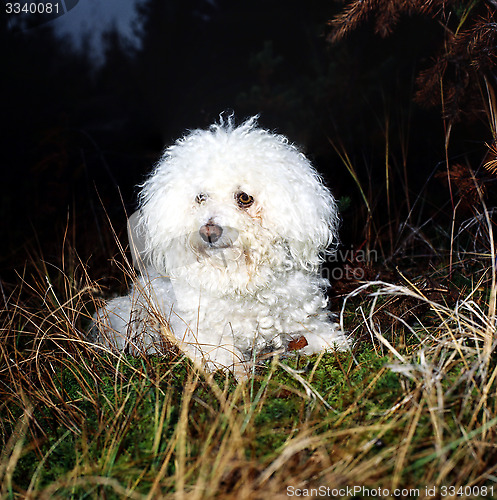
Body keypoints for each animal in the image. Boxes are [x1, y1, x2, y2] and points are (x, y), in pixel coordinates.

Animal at [93, 114, 348, 378]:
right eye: (201, 197)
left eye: (244, 198)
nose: (209, 231)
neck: (241, 281)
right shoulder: (206, 340)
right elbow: (231, 362)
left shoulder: (305, 320)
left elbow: (323, 339)